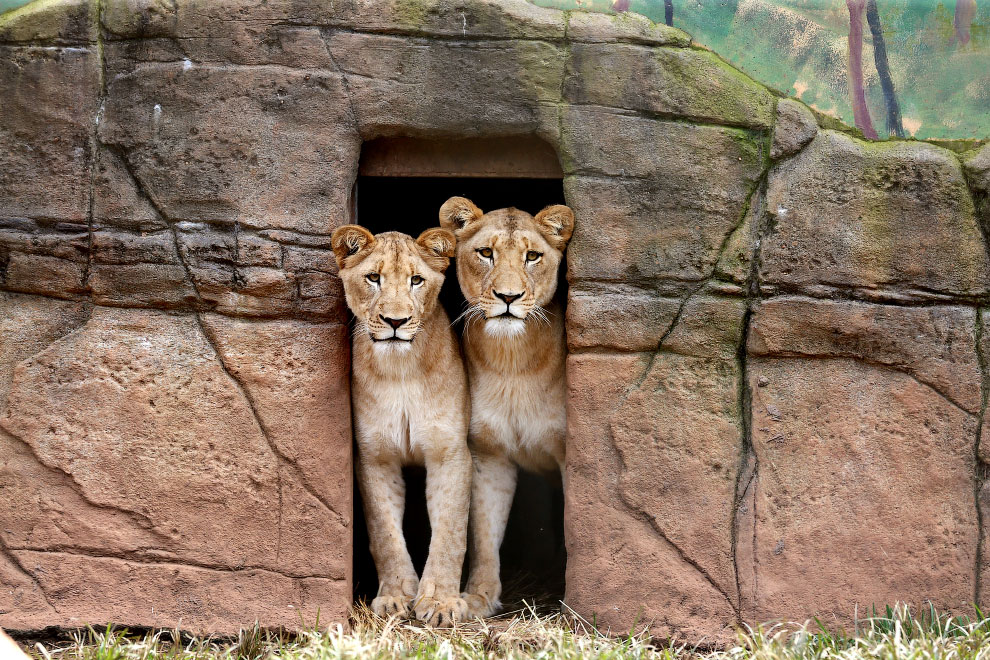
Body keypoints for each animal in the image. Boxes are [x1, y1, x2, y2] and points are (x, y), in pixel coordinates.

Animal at [332, 224, 470, 628]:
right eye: (373, 278)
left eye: (416, 280)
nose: (395, 322)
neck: (401, 370)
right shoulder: (375, 457)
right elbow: (385, 532)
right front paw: (395, 596)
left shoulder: (450, 453)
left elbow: (450, 532)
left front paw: (440, 603)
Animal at [440, 197, 572, 620]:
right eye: (486, 253)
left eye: (532, 256)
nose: (508, 298)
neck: (511, 361)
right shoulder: (489, 456)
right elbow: (483, 535)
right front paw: (478, 597)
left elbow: (576, 523)